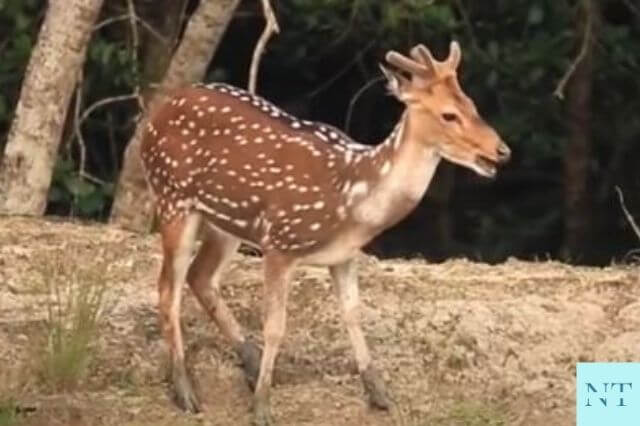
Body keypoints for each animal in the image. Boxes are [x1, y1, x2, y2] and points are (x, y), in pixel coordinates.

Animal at [140, 40, 510, 426]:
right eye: (448, 115)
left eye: (473, 105)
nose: (501, 151)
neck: (354, 202)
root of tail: (156, 112)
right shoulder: (280, 243)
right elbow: (275, 325)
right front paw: (262, 408)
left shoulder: (344, 256)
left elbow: (353, 314)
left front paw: (381, 395)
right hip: (172, 198)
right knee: (168, 289)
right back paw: (186, 391)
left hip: (225, 221)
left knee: (201, 277)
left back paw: (250, 363)